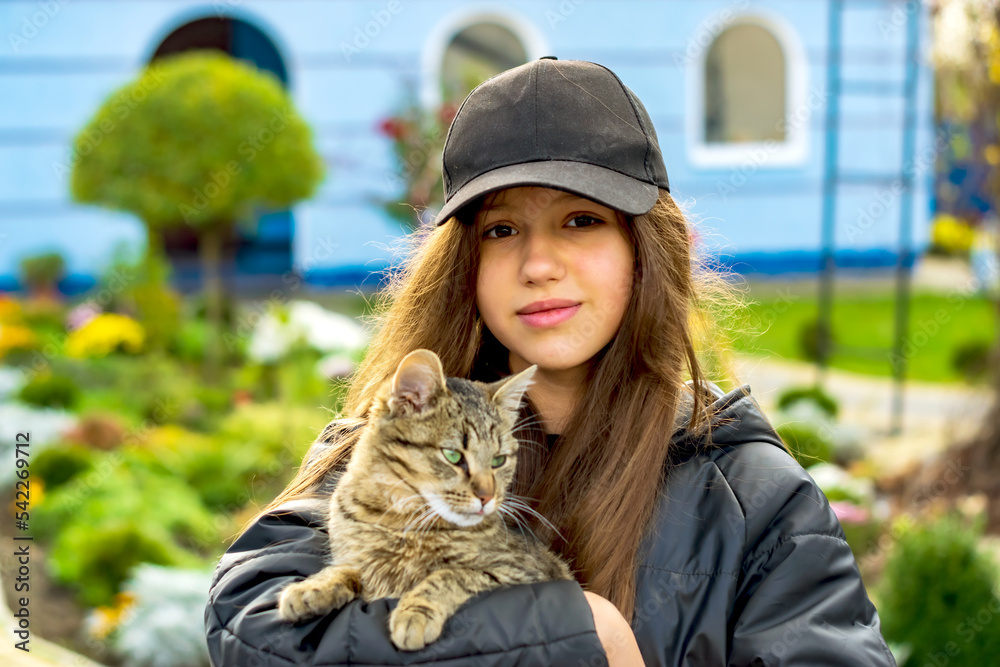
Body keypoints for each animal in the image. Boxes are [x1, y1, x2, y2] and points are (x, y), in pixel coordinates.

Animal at [276, 350, 572, 652]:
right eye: (453, 456)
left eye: (498, 460)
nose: (487, 496)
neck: (400, 521)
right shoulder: (359, 560)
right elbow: (346, 568)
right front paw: (311, 587)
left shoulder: (523, 570)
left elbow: (450, 575)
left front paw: (415, 613)